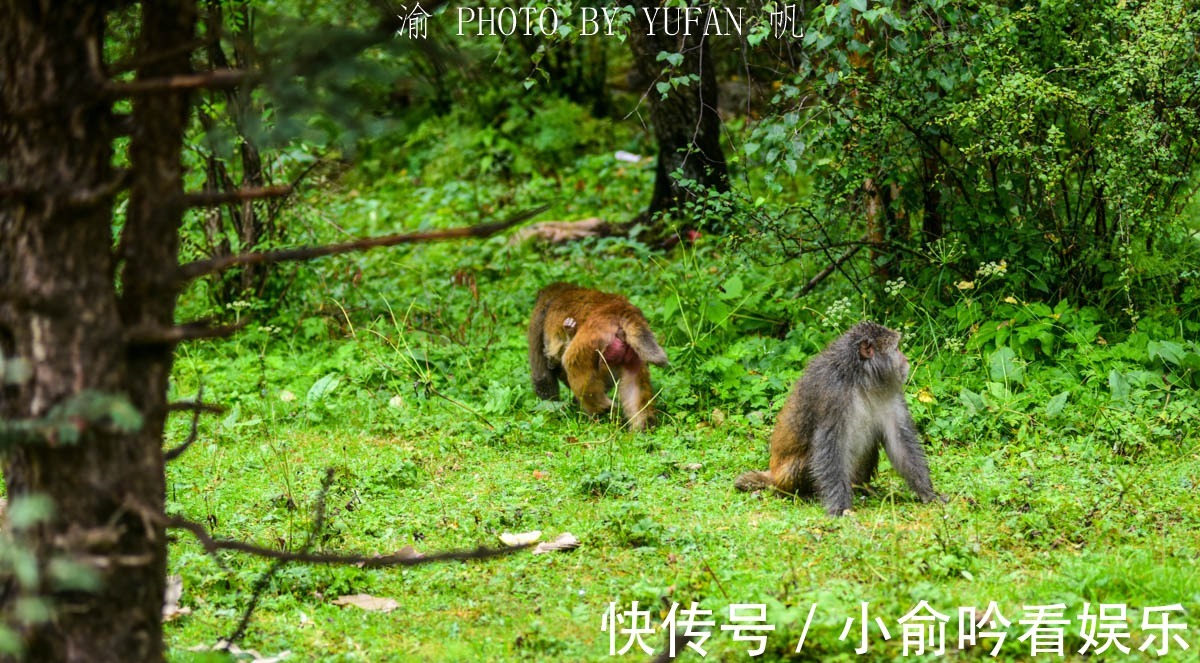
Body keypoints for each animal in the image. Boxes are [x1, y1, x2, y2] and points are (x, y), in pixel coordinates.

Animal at [530, 283, 672, 429]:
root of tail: (620, 309)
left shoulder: (538, 318)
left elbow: (542, 377)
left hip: (591, 340)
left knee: (572, 363)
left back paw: (604, 410)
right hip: (633, 351)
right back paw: (643, 427)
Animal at [734, 321, 940, 518]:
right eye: (896, 349)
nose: (906, 359)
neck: (859, 379)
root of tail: (773, 475)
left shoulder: (889, 390)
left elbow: (899, 439)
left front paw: (927, 492)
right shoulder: (833, 395)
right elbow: (830, 447)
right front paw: (839, 508)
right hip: (784, 477)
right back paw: (802, 494)